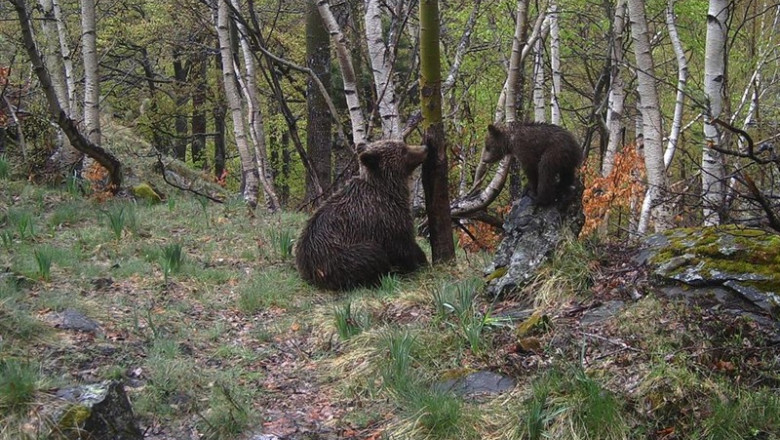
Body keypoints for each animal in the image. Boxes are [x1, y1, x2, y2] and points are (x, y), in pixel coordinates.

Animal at [295, 140, 429, 290]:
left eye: (403, 144)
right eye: (403, 150)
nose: (425, 148)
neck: (388, 190)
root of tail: (310, 271)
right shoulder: (386, 218)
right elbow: (403, 246)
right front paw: (418, 263)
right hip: (339, 256)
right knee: (372, 255)